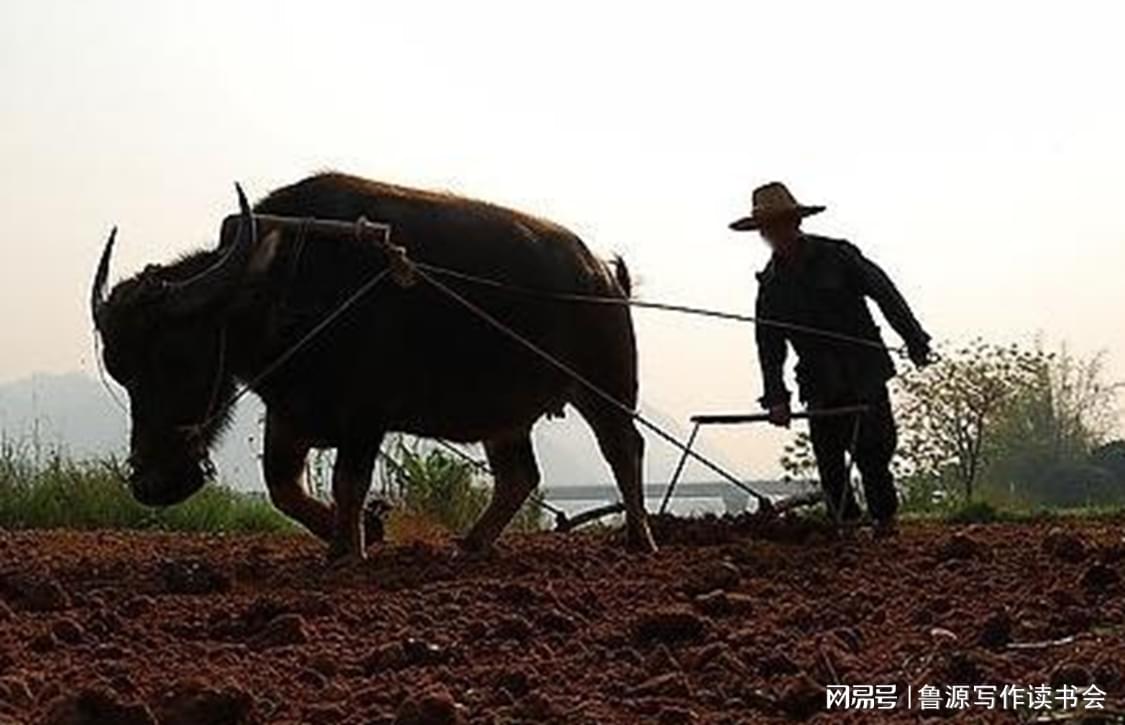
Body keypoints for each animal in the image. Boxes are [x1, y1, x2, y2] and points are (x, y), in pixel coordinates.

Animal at [94, 174, 657, 560]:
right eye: (120, 369)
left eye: (177, 358)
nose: (152, 485)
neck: (285, 288)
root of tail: (604, 275)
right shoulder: (290, 413)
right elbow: (283, 488)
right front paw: (364, 530)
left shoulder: (365, 414)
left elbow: (348, 480)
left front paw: (350, 549)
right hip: (505, 416)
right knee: (519, 475)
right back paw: (471, 544)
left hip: (606, 387)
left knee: (624, 449)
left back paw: (640, 538)